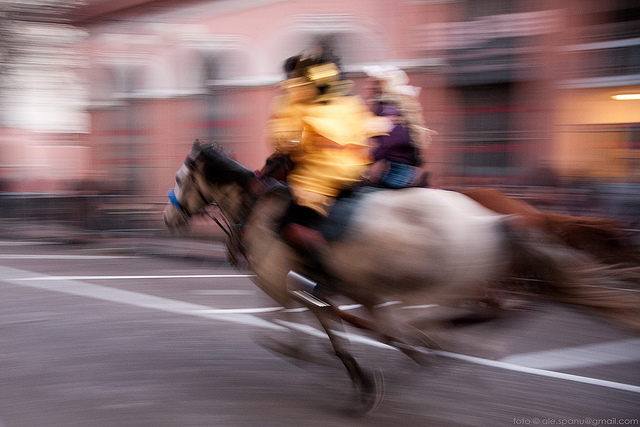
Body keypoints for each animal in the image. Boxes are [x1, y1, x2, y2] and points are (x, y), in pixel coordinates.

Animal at [162, 142, 640, 412]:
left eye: (181, 176)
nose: (167, 219)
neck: (264, 212)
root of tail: (492, 219)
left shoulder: (283, 283)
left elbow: (298, 327)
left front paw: (351, 375)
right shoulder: (319, 290)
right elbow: (321, 328)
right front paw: (353, 374)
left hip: (440, 285)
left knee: (449, 322)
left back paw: (433, 346)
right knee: (461, 321)